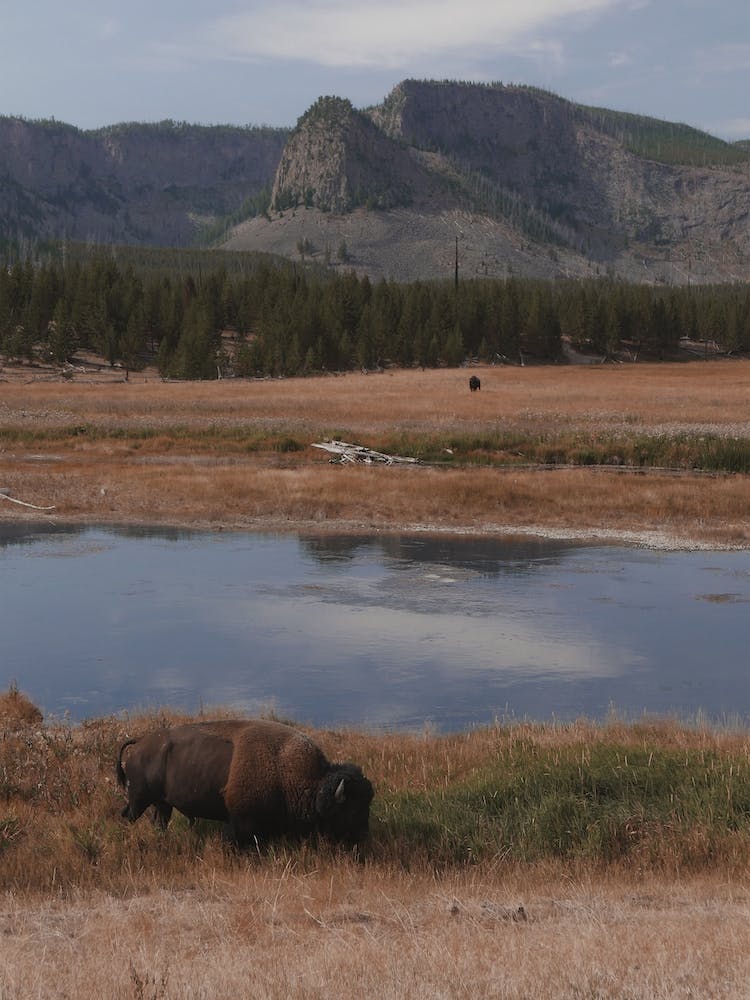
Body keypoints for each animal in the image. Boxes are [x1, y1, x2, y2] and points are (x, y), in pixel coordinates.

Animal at [116, 719, 374, 848]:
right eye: (351, 810)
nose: (364, 836)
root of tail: (140, 743)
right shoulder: (240, 820)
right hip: (139, 800)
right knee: (128, 816)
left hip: (162, 803)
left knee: (158, 821)